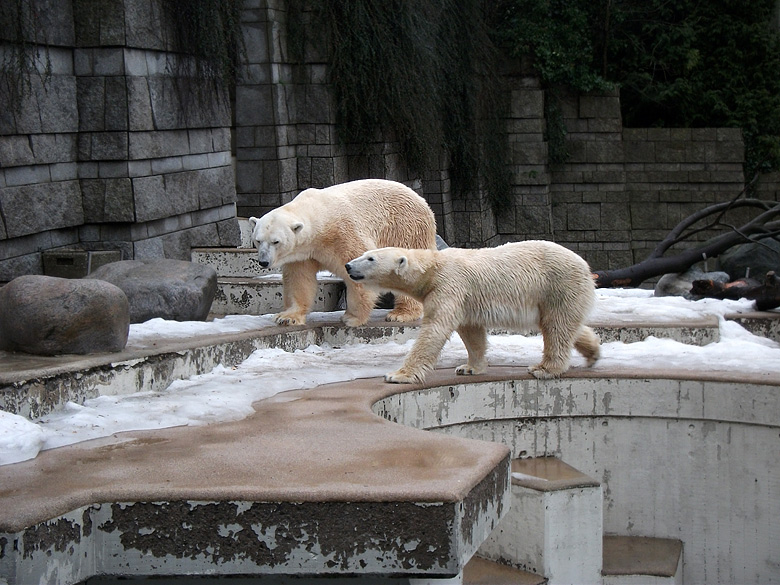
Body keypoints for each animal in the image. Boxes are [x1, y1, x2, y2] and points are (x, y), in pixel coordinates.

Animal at [248, 178, 436, 326]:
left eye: (276, 241)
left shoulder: (343, 234)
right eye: (258, 240)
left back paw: (401, 314)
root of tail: (421, 200)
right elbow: (298, 280)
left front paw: (351, 318)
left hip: (405, 228)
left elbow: (358, 271)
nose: (263, 262)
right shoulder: (301, 253)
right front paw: (287, 317)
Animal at [344, 240, 600, 380]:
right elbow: (471, 332)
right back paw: (593, 352)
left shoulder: (448, 285)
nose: (348, 266)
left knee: (557, 326)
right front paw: (469, 368)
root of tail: (586, 267)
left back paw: (544, 368)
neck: (432, 269)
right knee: (564, 324)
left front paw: (398, 375)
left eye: (370, 258)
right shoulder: (464, 298)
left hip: (558, 285)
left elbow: (435, 328)